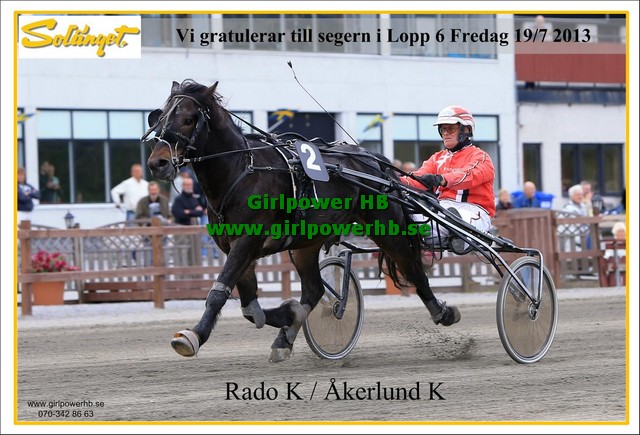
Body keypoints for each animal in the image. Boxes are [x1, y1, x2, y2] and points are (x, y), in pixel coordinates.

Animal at [145, 79, 460, 362]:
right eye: (160, 117)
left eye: (188, 119)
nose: (157, 163)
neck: (242, 170)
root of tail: (374, 161)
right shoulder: (234, 246)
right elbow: (249, 307)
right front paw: (288, 314)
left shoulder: (247, 241)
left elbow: (218, 293)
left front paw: (193, 335)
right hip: (305, 243)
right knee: (314, 289)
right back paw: (285, 338)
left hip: (385, 226)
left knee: (412, 268)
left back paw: (443, 312)